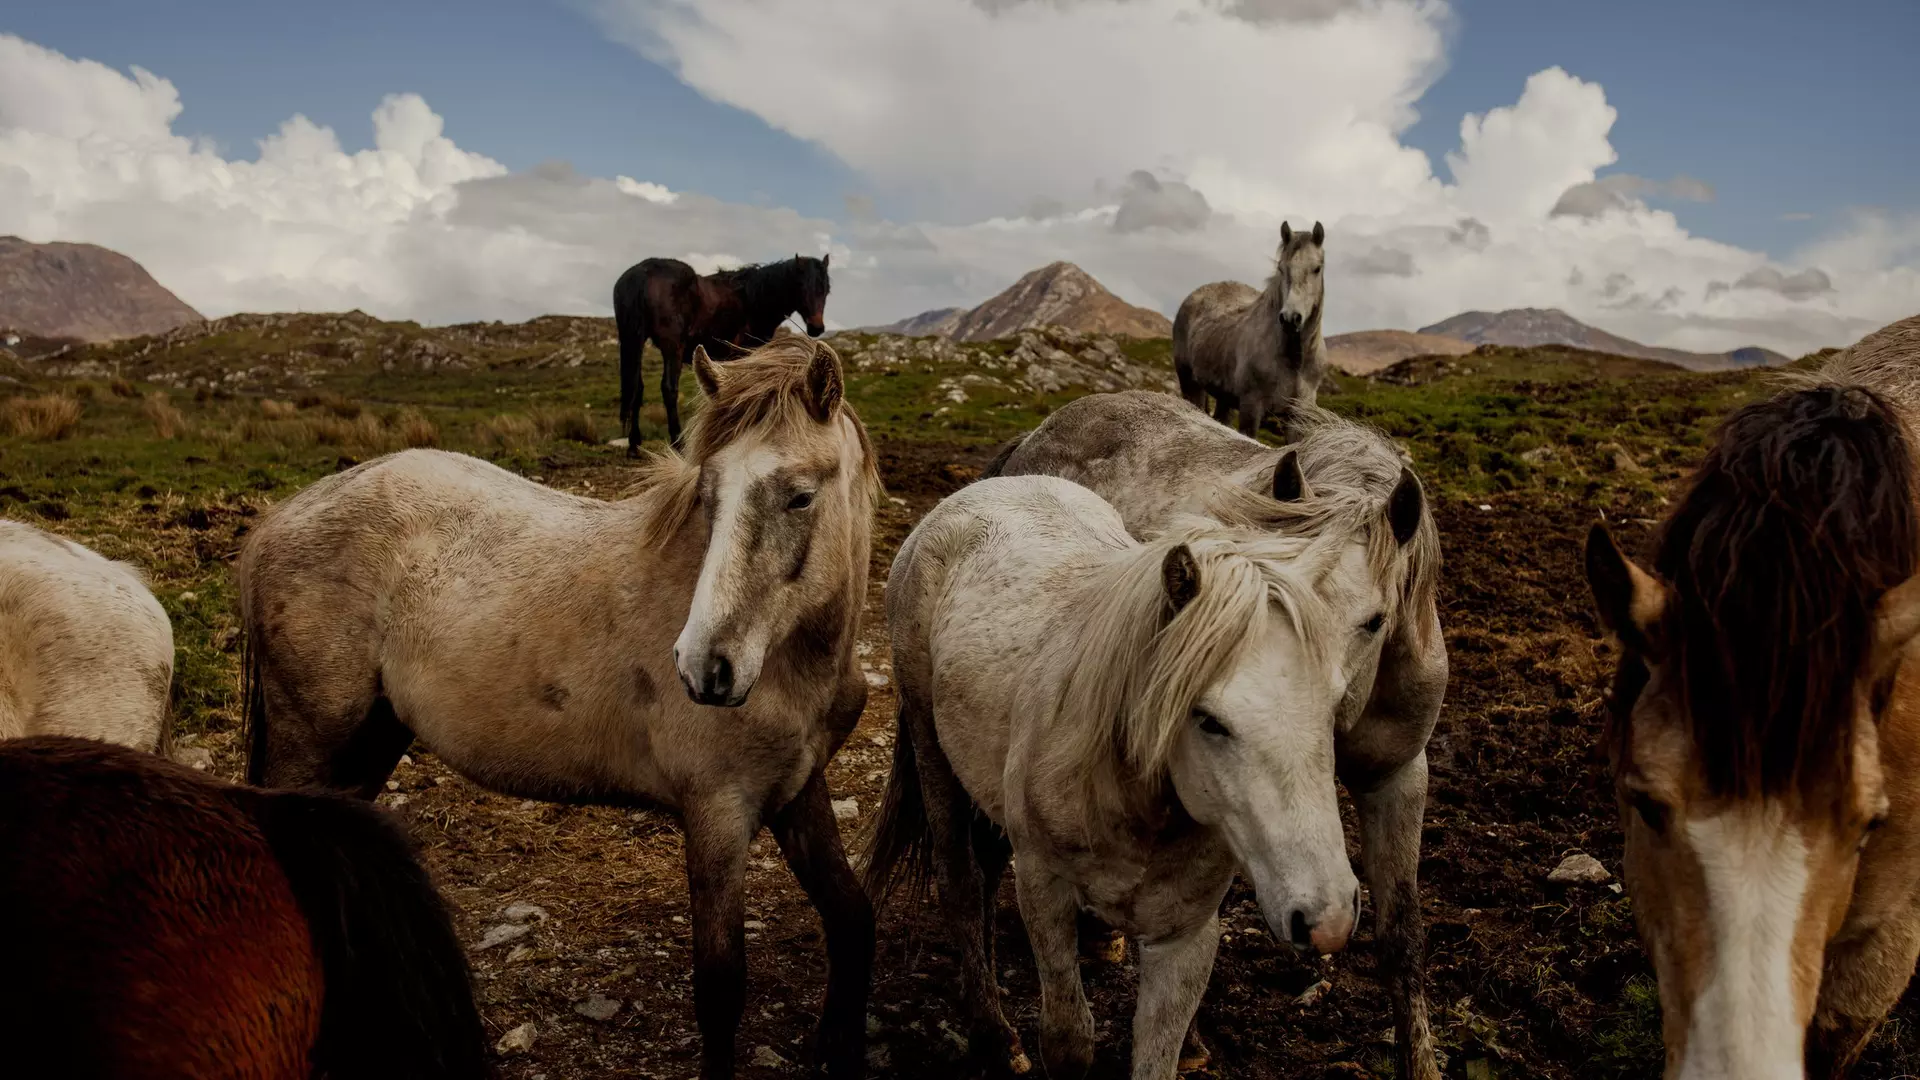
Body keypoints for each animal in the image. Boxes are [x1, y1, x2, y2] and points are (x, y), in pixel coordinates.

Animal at [238, 332, 877, 1080]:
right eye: (708, 497)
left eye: (800, 497)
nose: (704, 668)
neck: (791, 660)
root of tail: (284, 516)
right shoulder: (718, 814)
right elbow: (721, 990)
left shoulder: (799, 792)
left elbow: (853, 921)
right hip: (309, 744)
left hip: (369, 743)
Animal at [614, 254, 832, 451]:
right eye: (801, 286)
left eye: (826, 289)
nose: (816, 328)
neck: (753, 299)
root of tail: (642, 272)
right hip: (672, 347)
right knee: (668, 389)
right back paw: (678, 443)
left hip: (634, 342)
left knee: (636, 388)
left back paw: (634, 445)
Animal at [866, 473, 1404, 1080]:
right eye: (1208, 719)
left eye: (1333, 703)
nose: (1327, 917)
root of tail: (990, 487)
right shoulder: (1045, 892)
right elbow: (1068, 1041)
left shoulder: (1184, 937)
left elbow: (1156, 1055)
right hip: (931, 752)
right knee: (960, 882)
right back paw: (994, 1036)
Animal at [1173, 220, 1329, 437]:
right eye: (1281, 268)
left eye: (1316, 268)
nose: (1290, 318)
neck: (1294, 361)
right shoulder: (1251, 409)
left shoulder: (1297, 419)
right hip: (1190, 385)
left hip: (1224, 398)